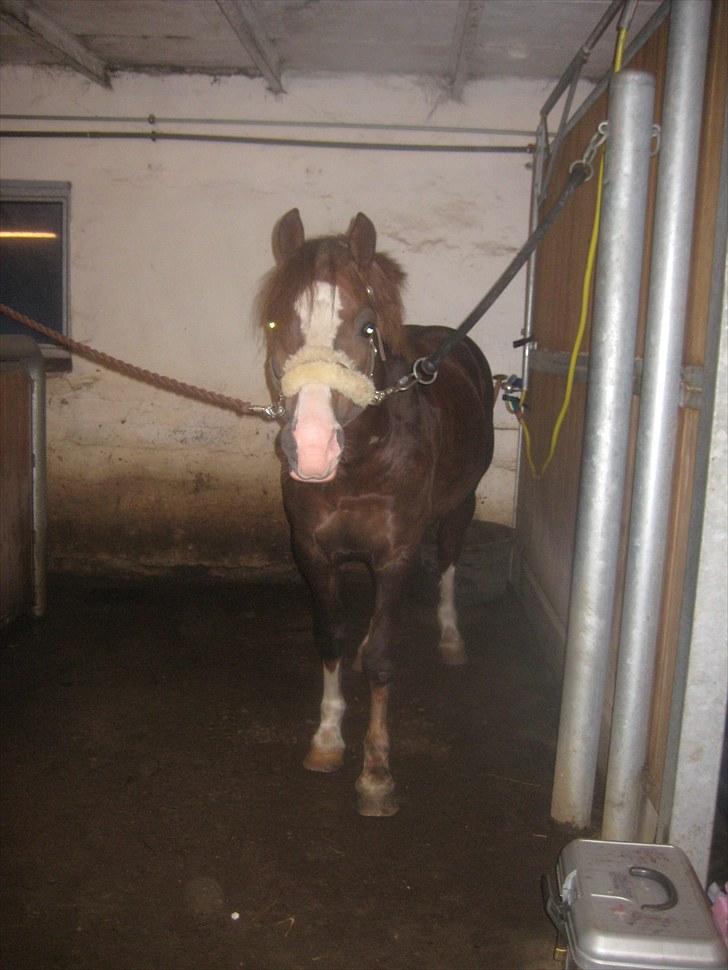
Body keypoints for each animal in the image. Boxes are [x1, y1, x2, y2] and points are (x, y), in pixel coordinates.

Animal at [257, 208, 494, 816]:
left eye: (367, 328)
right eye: (274, 323)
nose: (312, 448)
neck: (362, 463)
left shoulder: (396, 554)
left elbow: (385, 656)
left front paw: (376, 772)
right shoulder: (314, 552)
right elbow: (331, 637)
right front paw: (326, 740)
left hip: (458, 508)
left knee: (449, 564)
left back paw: (451, 638)